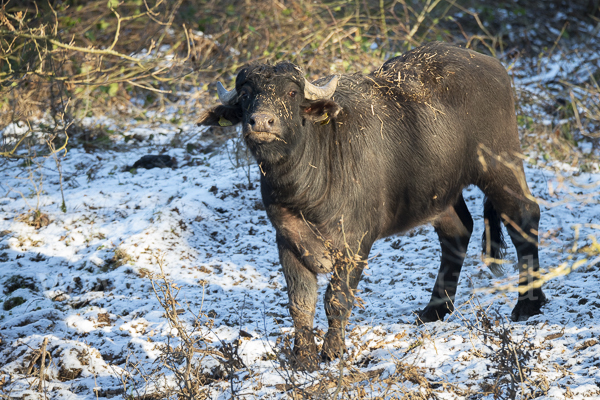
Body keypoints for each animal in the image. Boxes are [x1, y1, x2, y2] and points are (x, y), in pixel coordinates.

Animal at [199, 41, 548, 368]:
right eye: (246, 95)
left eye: (291, 92)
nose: (261, 122)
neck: (305, 189)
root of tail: (491, 65)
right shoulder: (287, 240)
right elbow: (300, 302)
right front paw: (303, 358)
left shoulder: (356, 243)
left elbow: (336, 298)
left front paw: (333, 351)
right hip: (440, 193)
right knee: (458, 232)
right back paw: (435, 309)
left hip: (499, 164)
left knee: (524, 216)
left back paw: (527, 303)